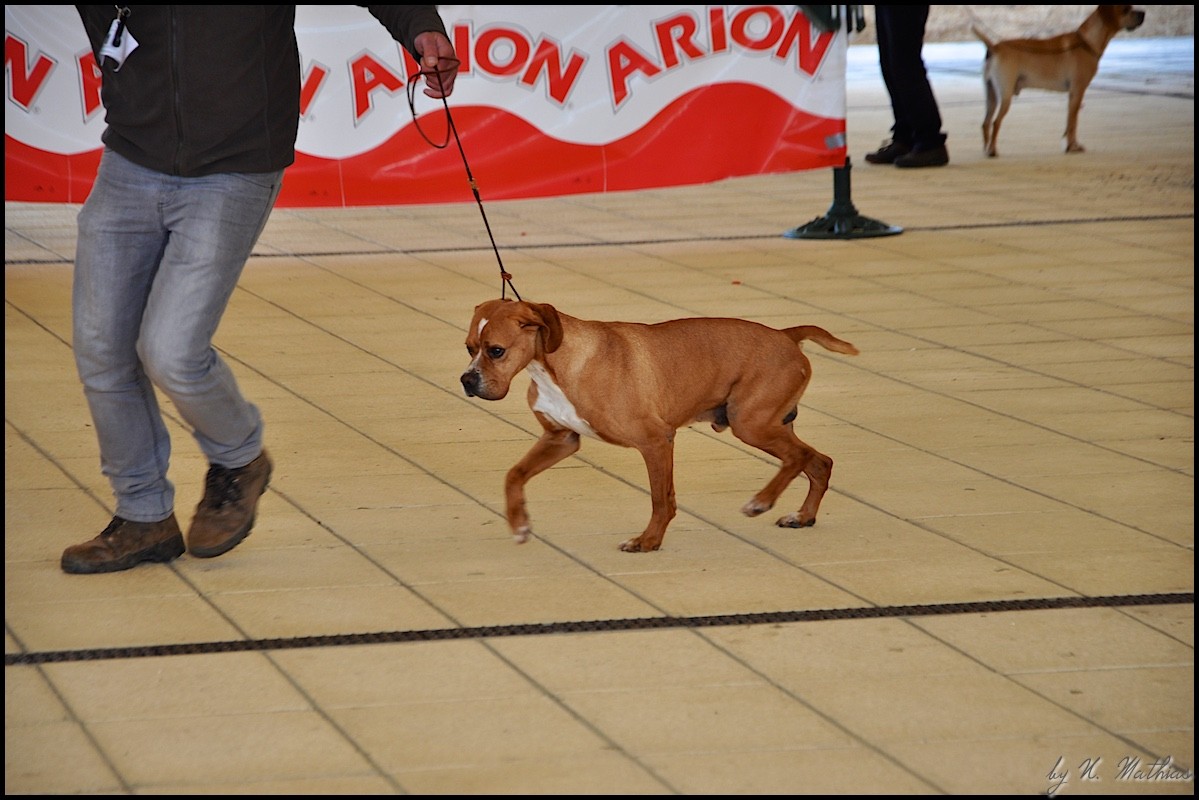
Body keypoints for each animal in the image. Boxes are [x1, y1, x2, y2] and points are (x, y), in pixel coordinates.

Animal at [460, 298, 859, 552]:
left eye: (496, 350)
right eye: (469, 348)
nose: (466, 380)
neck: (556, 366)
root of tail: (786, 334)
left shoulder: (655, 441)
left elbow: (660, 500)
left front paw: (648, 541)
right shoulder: (561, 439)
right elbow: (514, 475)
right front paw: (519, 523)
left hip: (751, 424)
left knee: (799, 458)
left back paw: (761, 502)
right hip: (769, 426)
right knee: (819, 461)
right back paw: (803, 516)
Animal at [973, 5, 1146, 156]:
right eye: (1126, 9)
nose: (1143, 13)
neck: (1086, 42)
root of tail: (994, 47)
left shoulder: (1072, 95)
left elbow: (1069, 122)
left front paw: (1069, 145)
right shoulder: (1077, 91)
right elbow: (1073, 122)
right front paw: (1073, 147)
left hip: (991, 97)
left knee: (985, 123)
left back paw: (986, 149)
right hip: (1005, 96)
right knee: (995, 122)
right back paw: (992, 150)